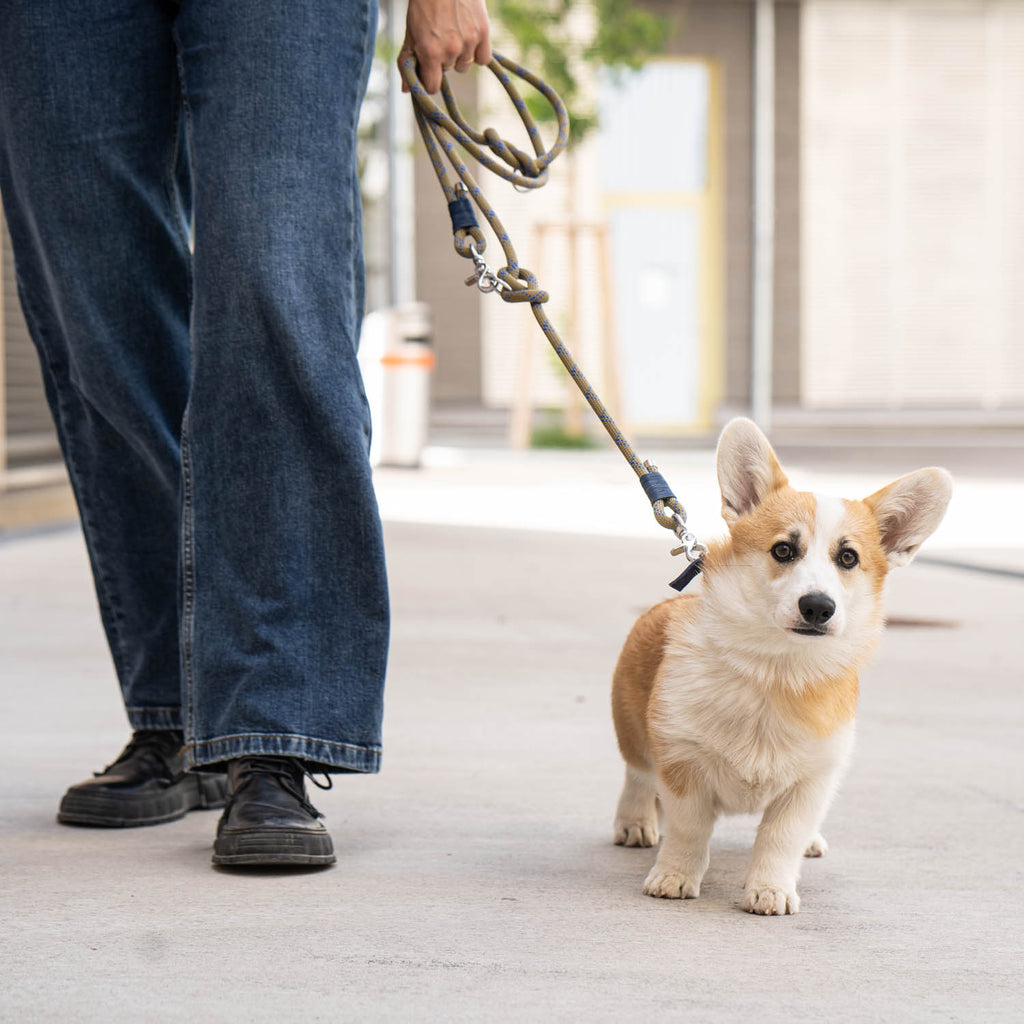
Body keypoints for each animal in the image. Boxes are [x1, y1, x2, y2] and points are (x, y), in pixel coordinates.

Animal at [606, 419, 950, 917]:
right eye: (784, 550)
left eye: (848, 558)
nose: (818, 607)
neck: (776, 670)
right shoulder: (683, 761)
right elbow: (689, 829)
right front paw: (674, 877)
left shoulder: (811, 782)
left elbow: (780, 838)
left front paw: (770, 890)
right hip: (633, 729)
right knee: (637, 775)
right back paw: (634, 824)